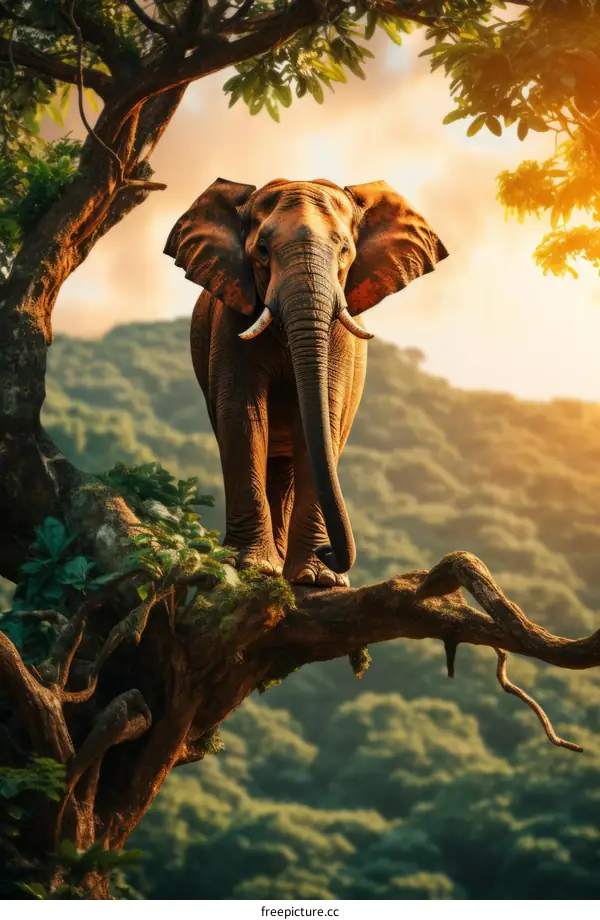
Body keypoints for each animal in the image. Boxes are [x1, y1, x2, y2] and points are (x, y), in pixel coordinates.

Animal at [164, 177, 448, 586]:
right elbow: (242, 414)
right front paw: (252, 567)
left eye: (345, 249)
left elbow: (324, 413)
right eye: (262, 250)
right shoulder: (231, 315)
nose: (329, 552)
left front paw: (318, 579)